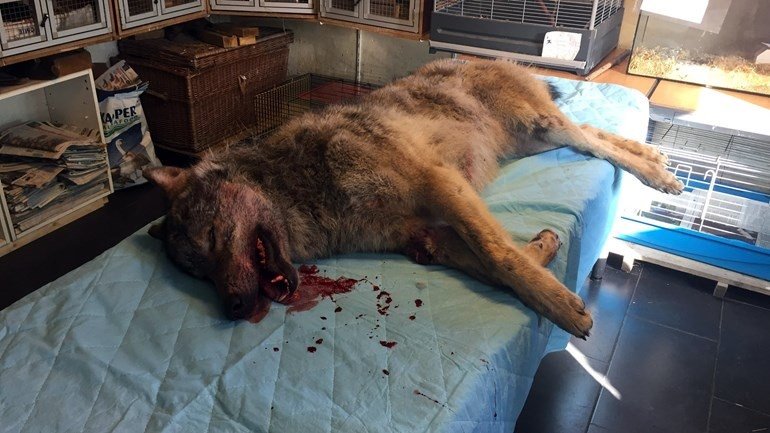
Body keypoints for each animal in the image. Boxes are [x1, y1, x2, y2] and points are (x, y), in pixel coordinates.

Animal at [145, 59, 683, 338]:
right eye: (197, 273)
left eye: (213, 238)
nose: (234, 308)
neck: (306, 191)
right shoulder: (426, 241)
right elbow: (496, 266)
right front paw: (545, 253)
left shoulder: (442, 187)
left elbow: (499, 256)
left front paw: (558, 306)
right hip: (535, 140)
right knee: (595, 134)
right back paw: (655, 157)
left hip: (541, 127)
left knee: (594, 141)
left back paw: (659, 175)